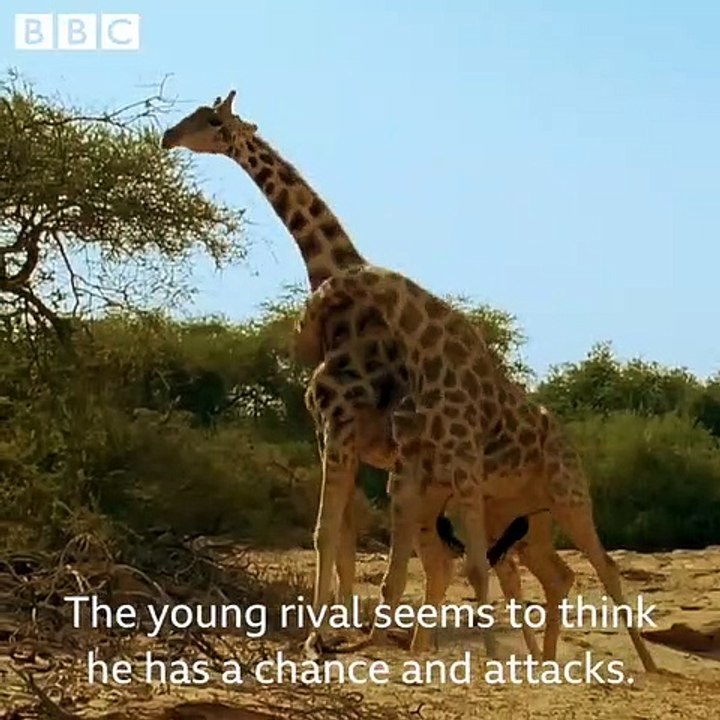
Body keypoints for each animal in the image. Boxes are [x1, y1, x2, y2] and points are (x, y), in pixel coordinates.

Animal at [160, 91, 540, 659]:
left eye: (209, 119)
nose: (168, 137)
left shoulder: (341, 426)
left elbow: (326, 532)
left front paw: (319, 635)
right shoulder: (332, 435)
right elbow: (342, 537)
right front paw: (335, 629)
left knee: (477, 560)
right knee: (460, 560)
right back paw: (429, 643)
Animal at [294, 264, 659, 671]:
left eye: (319, 305)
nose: (303, 343)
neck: (429, 358)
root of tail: (568, 443)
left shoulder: (462, 462)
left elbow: (471, 567)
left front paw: (490, 656)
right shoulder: (415, 471)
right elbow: (411, 568)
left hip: (570, 497)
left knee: (604, 566)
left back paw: (649, 668)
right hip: (523, 519)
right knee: (556, 576)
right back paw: (546, 663)